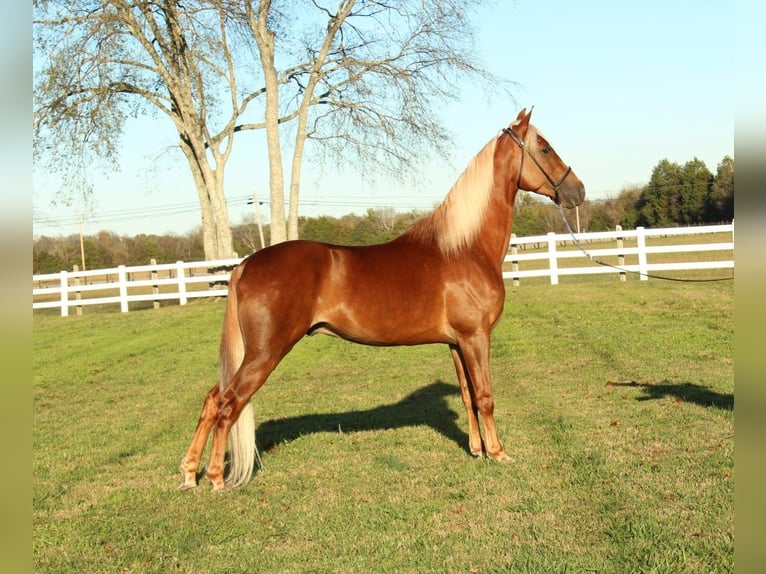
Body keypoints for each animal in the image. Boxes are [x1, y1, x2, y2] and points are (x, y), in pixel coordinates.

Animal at [180, 107, 588, 490]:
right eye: (544, 148)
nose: (579, 191)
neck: (465, 248)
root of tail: (245, 264)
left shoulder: (457, 343)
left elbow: (468, 396)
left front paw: (477, 450)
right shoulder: (476, 338)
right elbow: (485, 396)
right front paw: (499, 453)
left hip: (250, 354)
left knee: (212, 399)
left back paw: (189, 474)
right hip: (265, 352)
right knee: (228, 404)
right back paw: (216, 478)